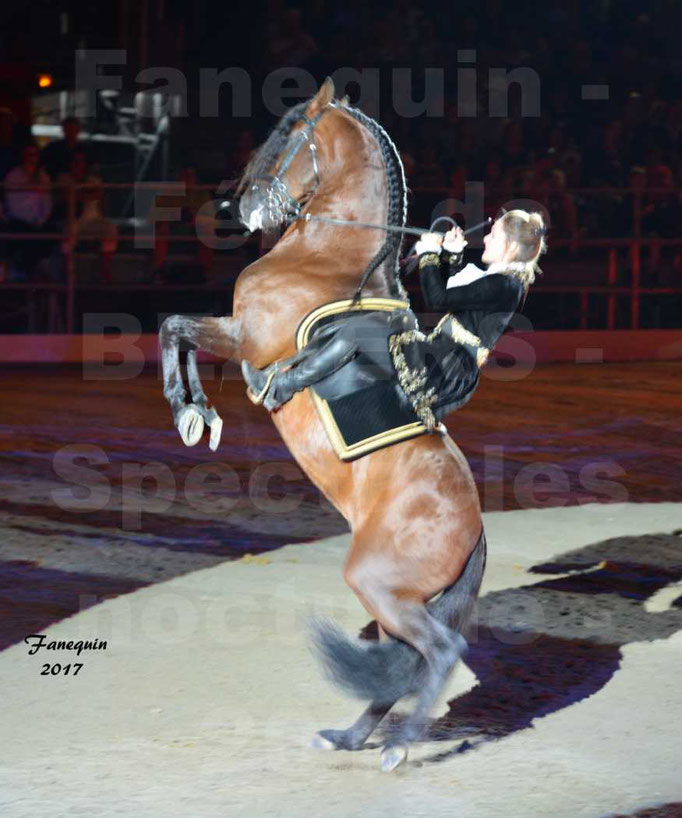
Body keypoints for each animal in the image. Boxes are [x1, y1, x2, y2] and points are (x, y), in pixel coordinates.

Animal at [161, 78, 484, 772]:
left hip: (376, 583)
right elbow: (179, 331)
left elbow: (175, 328)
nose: (244, 207)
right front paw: (199, 416)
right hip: (392, 599)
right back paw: (350, 738)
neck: (325, 257)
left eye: (286, 139)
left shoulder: (247, 336)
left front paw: (190, 409)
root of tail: (474, 528)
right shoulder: (236, 334)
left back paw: (398, 746)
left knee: (439, 653)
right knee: (405, 661)